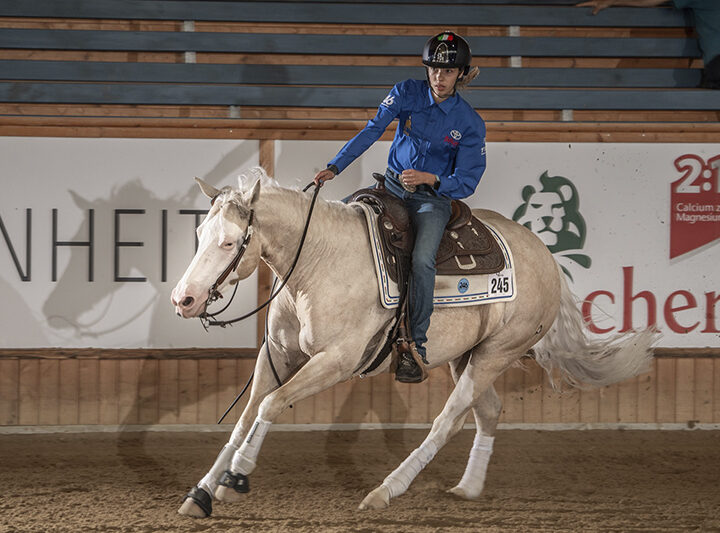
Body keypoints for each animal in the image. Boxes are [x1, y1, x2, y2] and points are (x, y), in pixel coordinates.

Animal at [172, 166, 656, 516]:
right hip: (467, 356)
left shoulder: (336, 361)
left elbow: (271, 406)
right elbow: (245, 417)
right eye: (197, 236)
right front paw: (202, 492)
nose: (184, 299)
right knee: (487, 411)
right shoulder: (277, 355)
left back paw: (386, 490)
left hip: (498, 352)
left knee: (448, 419)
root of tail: (547, 257)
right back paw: (467, 488)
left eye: (230, 241)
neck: (317, 264)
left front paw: (236, 478)